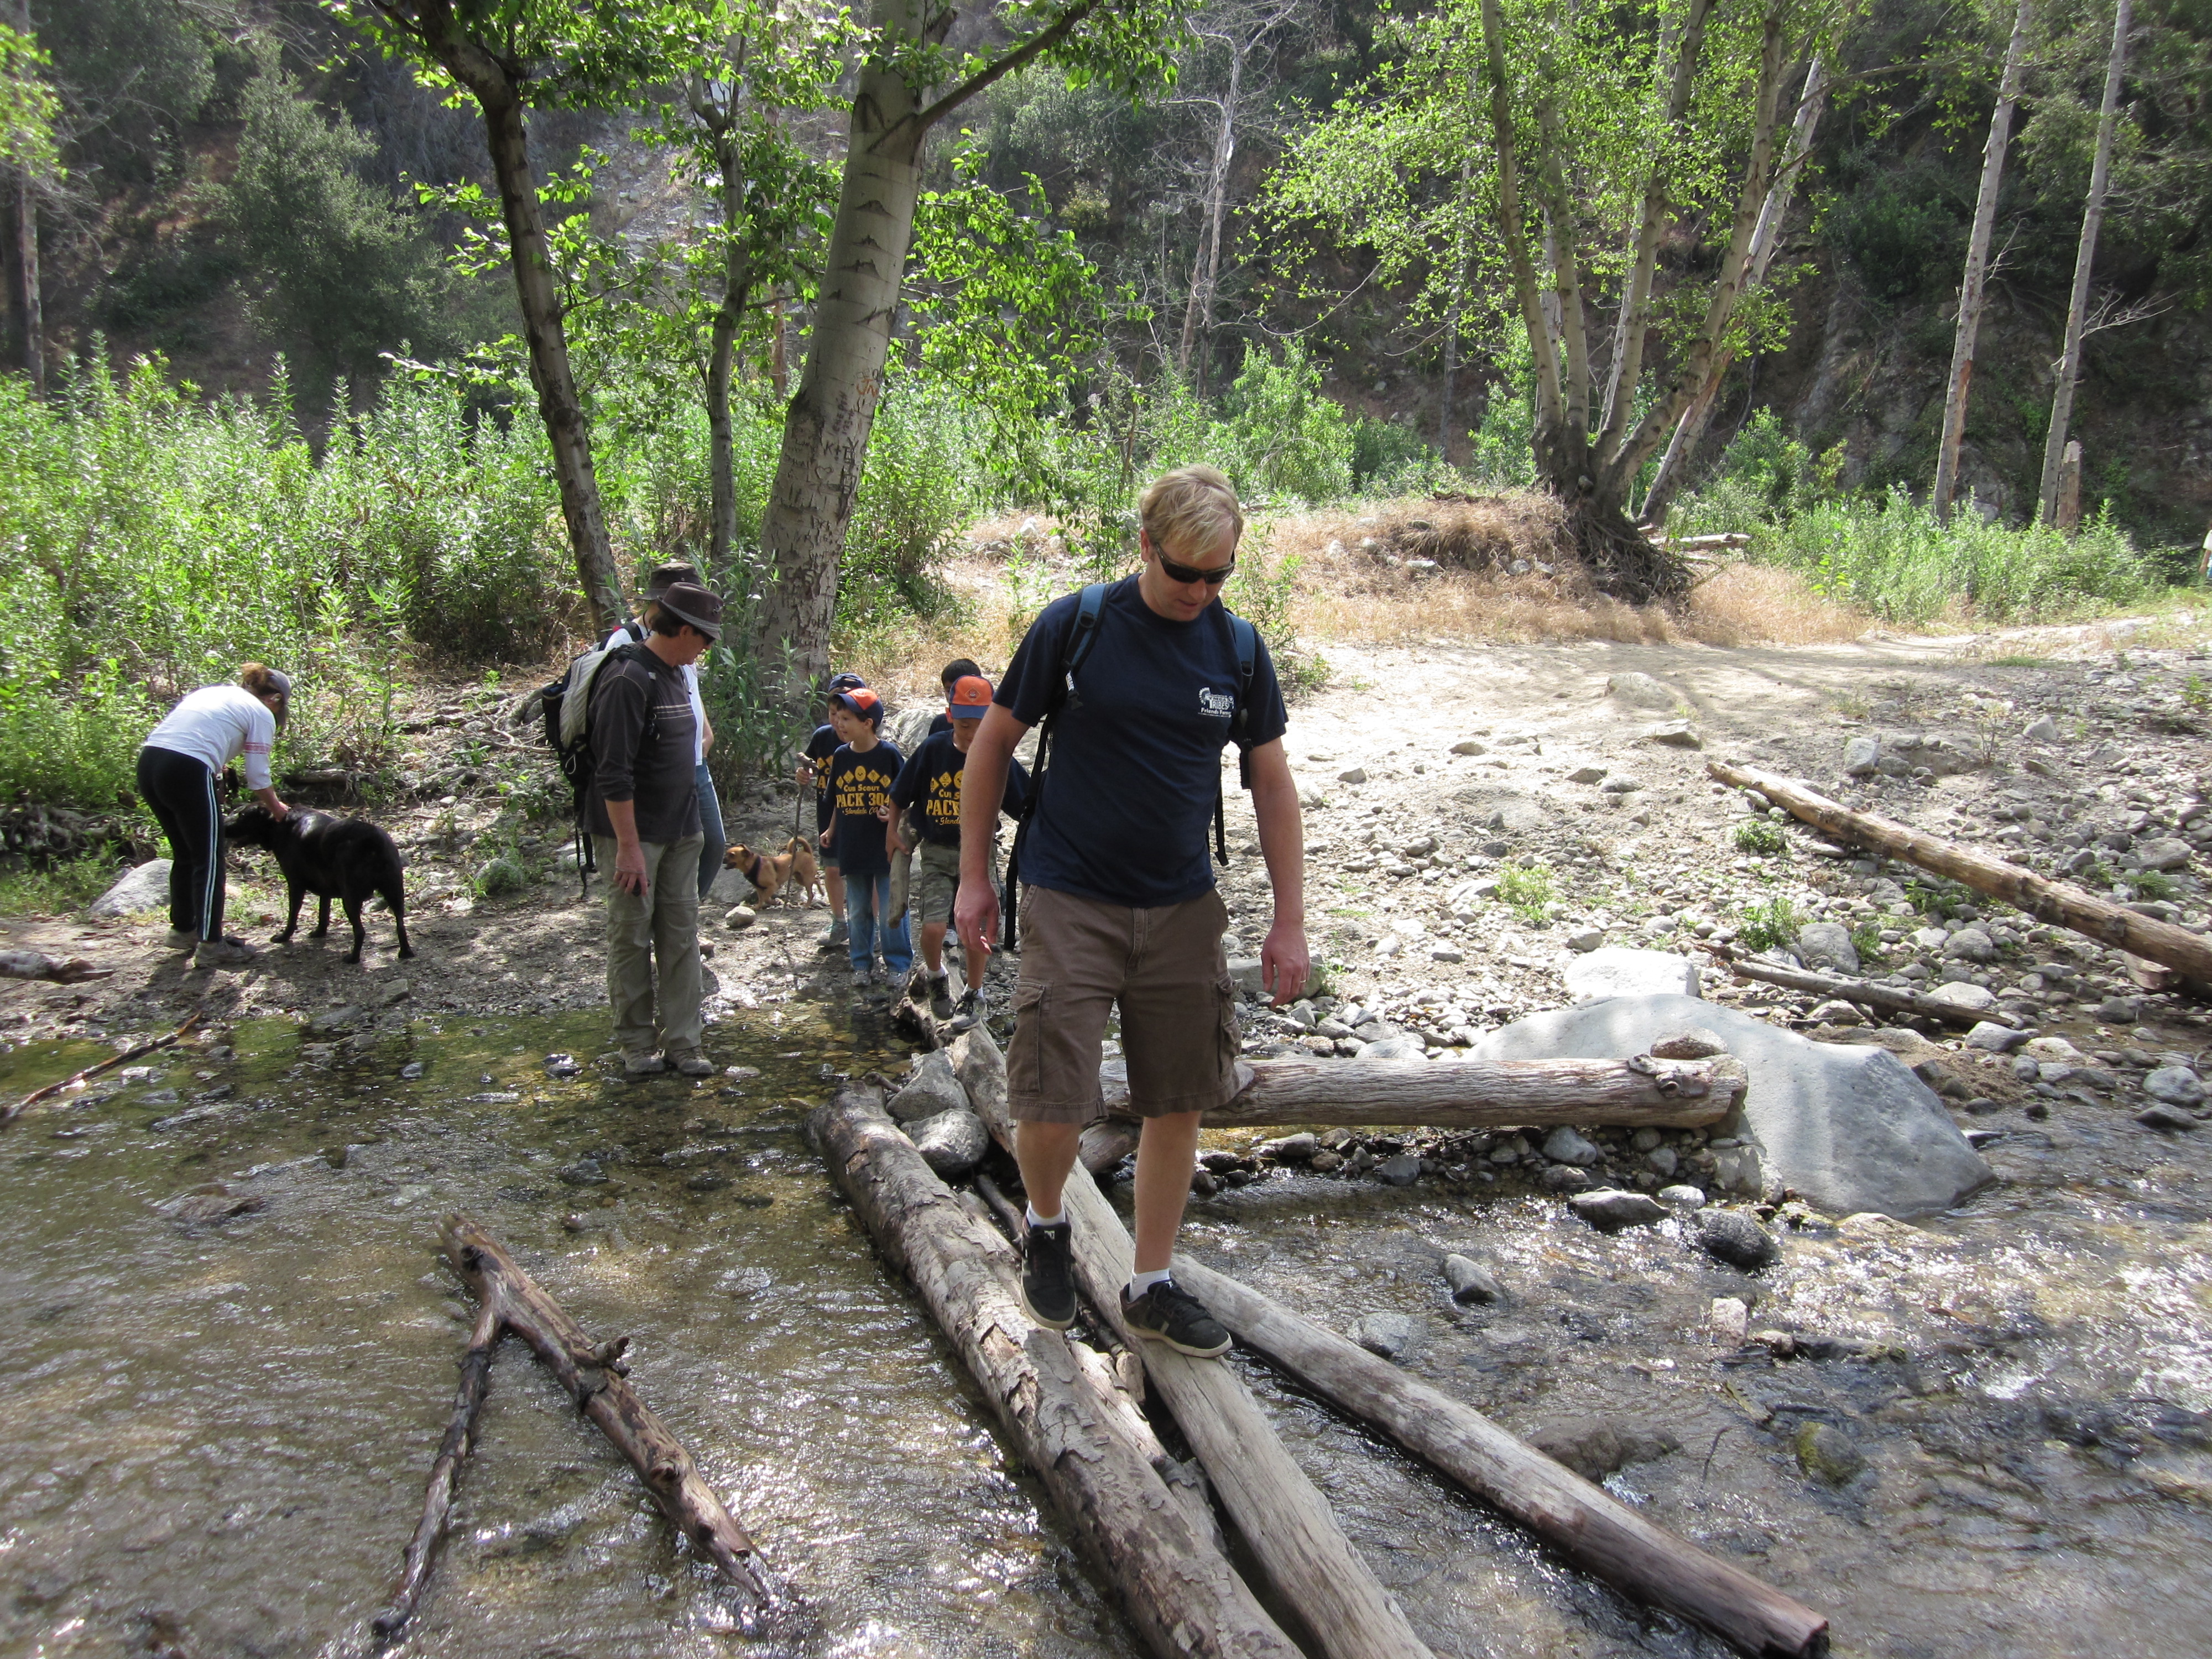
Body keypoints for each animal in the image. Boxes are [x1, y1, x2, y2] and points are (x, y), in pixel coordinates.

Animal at [224, 805, 413, 964]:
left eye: (242, 815)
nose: (223, 826)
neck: (279, 825)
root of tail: (372, 838)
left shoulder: (295, 885)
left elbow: (292, 916)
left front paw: (284, 937)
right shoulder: (325, 889)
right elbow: (324, 913)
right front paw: (320, 933)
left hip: (351, 897)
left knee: (360, 931)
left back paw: (353, 958)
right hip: (394, 892)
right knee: (401, 925)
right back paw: (406, 953)